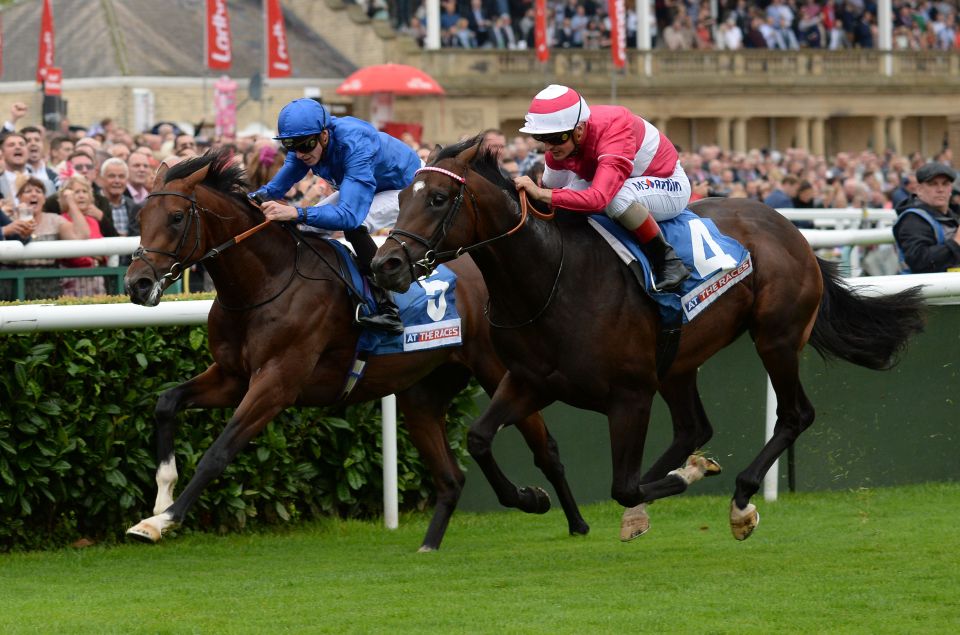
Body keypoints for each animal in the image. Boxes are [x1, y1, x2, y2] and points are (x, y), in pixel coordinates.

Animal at [120, 149, 584, 552]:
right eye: (140, 216)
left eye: (176, 217)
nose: (138, 284)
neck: (266, 282)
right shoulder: (232, 376)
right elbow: (166, 402)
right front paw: (160, 500)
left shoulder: (277, 383)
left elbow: (218, 453)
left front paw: (161, 521)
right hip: (422, 389)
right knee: (452, 477)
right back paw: (435, 542)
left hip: (498, 369)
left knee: (546, 447)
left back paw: (566, 515)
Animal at [372, 140, 928, 540]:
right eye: (398, 198)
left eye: (438, 198)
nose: (386, 264)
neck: (551, 279)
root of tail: (792, 232)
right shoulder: (529, 380)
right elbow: (480, 439)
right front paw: (532, 497)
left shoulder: (630, 395)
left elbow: (622, 483)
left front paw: (687, 478)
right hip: (679, 360)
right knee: (693, 427)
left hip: (776, 336)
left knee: (794, 415)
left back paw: (741, 500)